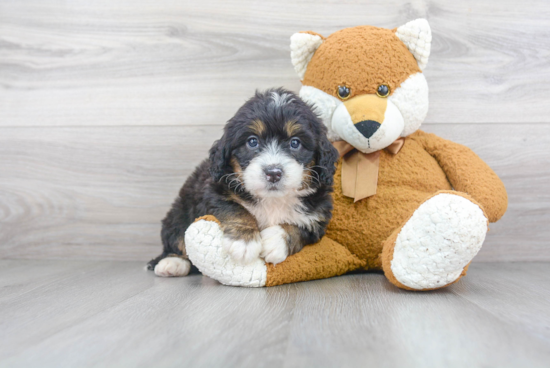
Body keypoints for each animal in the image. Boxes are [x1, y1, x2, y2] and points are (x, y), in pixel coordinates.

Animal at [150, 87, 340, 276]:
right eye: (252, 141)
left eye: (295, 143)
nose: (273, 173)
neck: (273, 200)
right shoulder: (214, 193)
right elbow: (236, 209)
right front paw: (244, 241)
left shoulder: (318, 215)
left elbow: (300, 228)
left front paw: (276, 240)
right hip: (179, 213)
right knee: (176, 238)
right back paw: (172, 263)